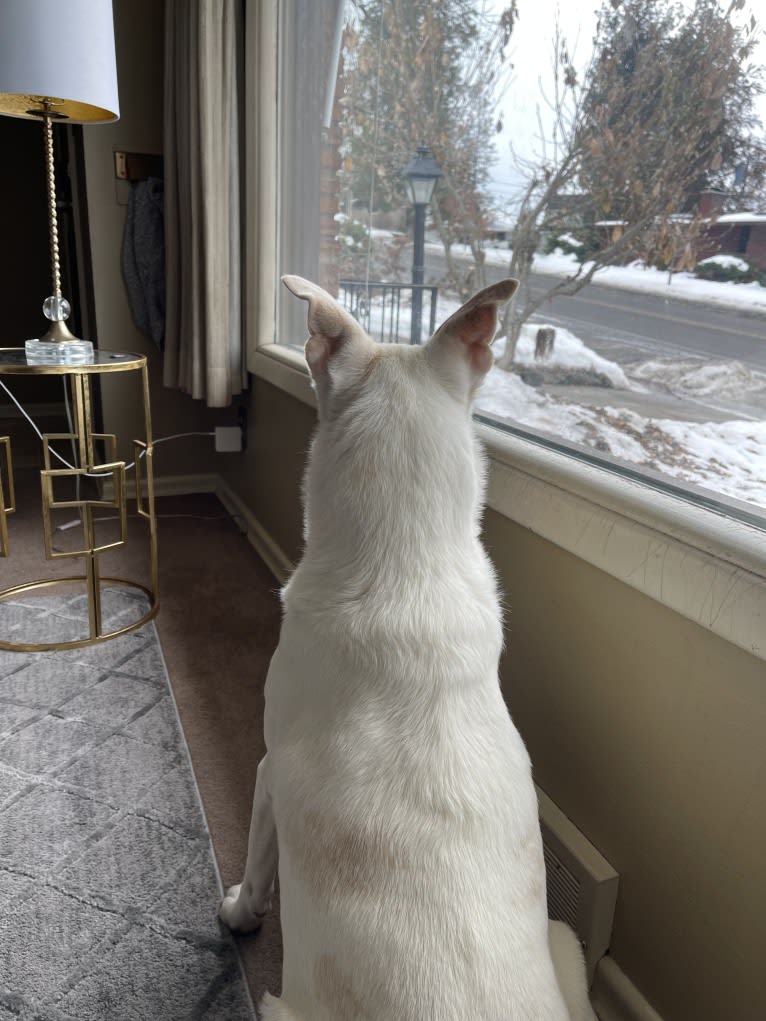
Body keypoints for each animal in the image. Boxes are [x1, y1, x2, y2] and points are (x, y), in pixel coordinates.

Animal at [218, 277, 596, 1021]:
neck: (405, 561)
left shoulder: (268, 776)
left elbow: (257, 867)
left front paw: (240, 913)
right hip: (565, 941)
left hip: (278, 1006)